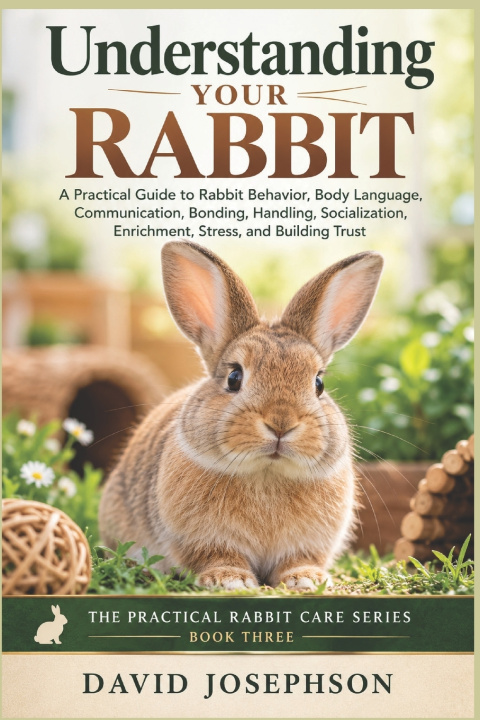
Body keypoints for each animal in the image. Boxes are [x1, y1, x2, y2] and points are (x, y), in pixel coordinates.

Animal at [99, 241, 383, 591]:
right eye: (234, 377)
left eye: (319, 383)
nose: (281, 423)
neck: (267, 473)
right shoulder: (205, 541)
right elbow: (219, 557)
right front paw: (229, 580)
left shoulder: (305, 544)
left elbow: (298, 561)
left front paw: (306, 579)